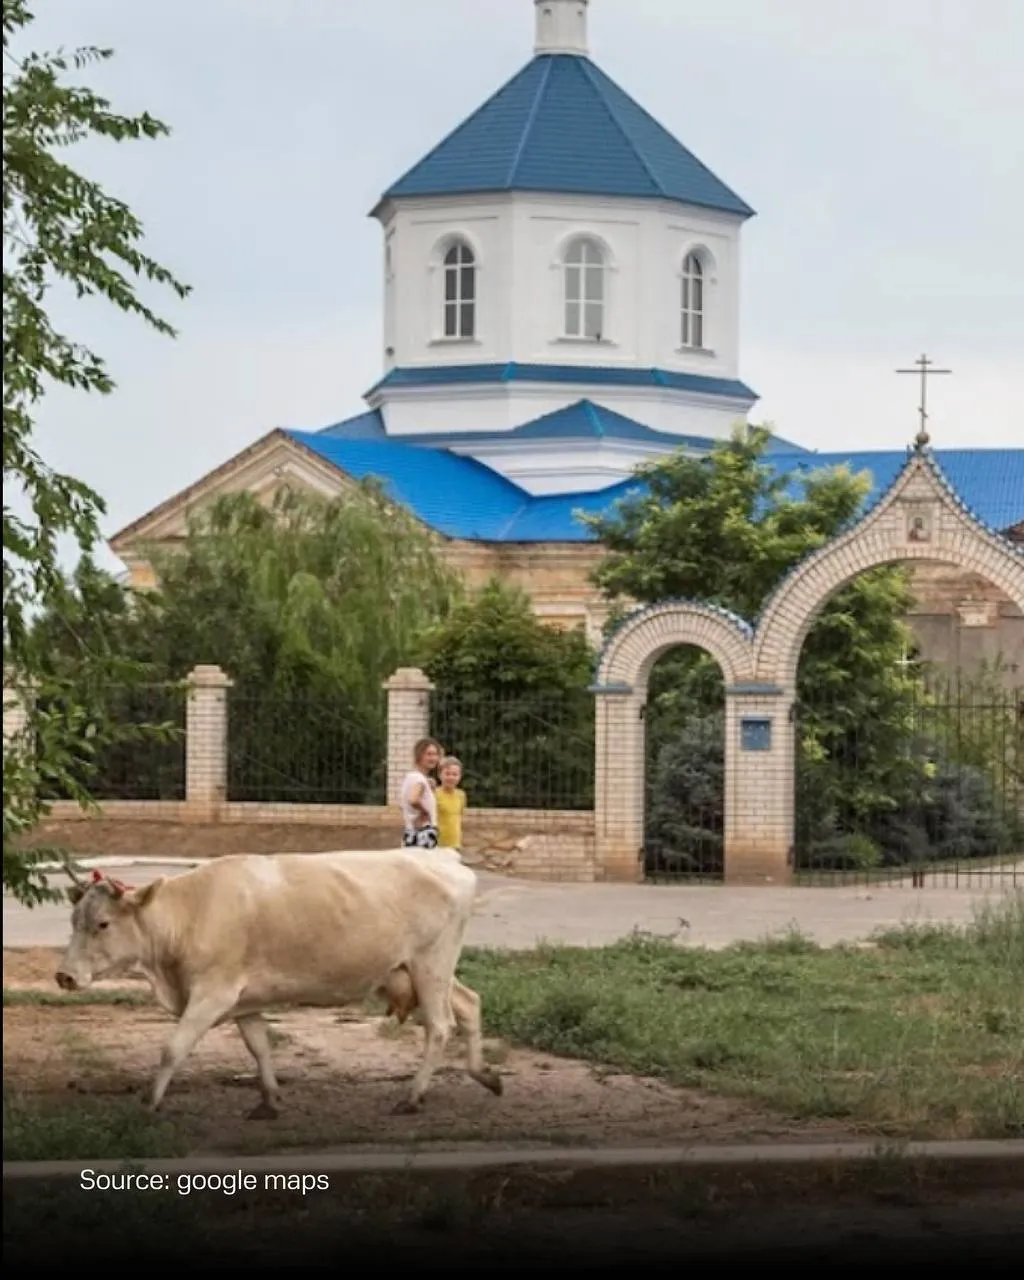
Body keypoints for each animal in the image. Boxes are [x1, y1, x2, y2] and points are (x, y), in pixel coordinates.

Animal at [56, 849, 504, 1121]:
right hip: (422, 969)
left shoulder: (212, 994)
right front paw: (269, 1100)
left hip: (431, 964)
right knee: (470, 1003)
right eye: (74, 919)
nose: (65, 975)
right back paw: (484, 1074)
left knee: (440, 1026)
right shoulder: (244, 999)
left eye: (103, 924)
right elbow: (259, 1047)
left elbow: (173, 1048)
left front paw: (149, 1103)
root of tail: (444, 857)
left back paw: (412, 1097)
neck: (191, 911)